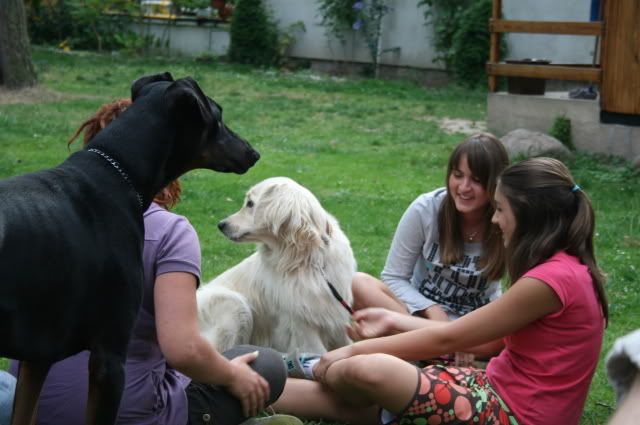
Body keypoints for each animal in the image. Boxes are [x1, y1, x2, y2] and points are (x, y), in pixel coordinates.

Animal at [197, 177, 356, 355]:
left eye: (250, 203)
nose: (221, 224)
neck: (305, 258)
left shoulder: (336, 318)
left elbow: (348, 345)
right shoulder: (301, 326)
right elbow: (320, 353)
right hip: (236, 306)